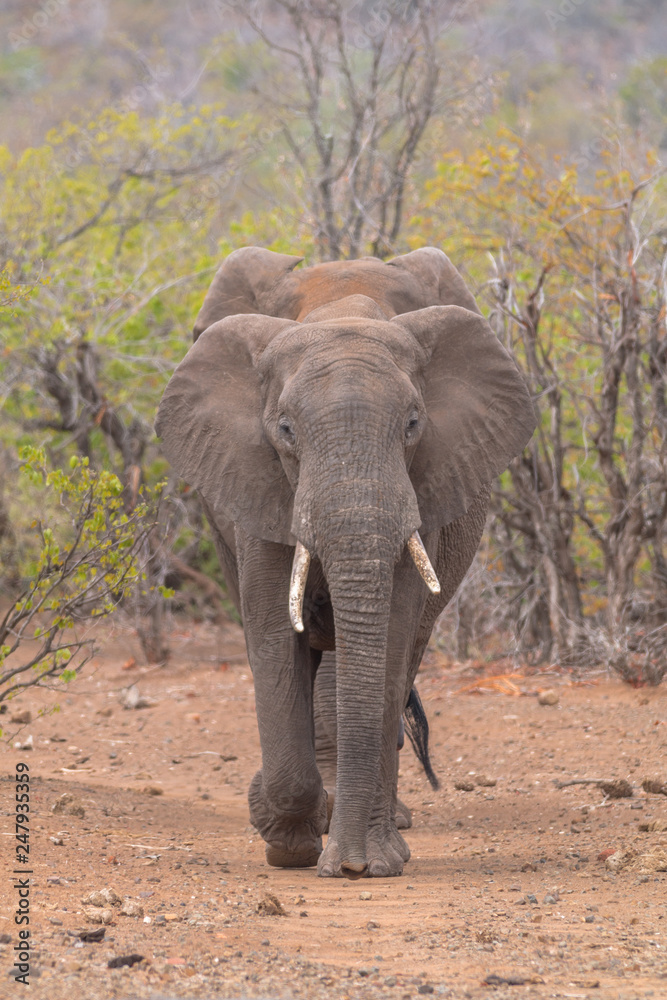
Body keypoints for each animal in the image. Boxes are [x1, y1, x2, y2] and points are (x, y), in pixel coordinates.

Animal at [156, 245, 536, 878]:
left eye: (413, 423)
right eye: (285, 429)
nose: (352, 868)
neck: (339, 309)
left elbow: (389, 634)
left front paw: (367, 863)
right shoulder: (256, 481)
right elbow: (274, 634)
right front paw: (288, 842)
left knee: (398, 653)